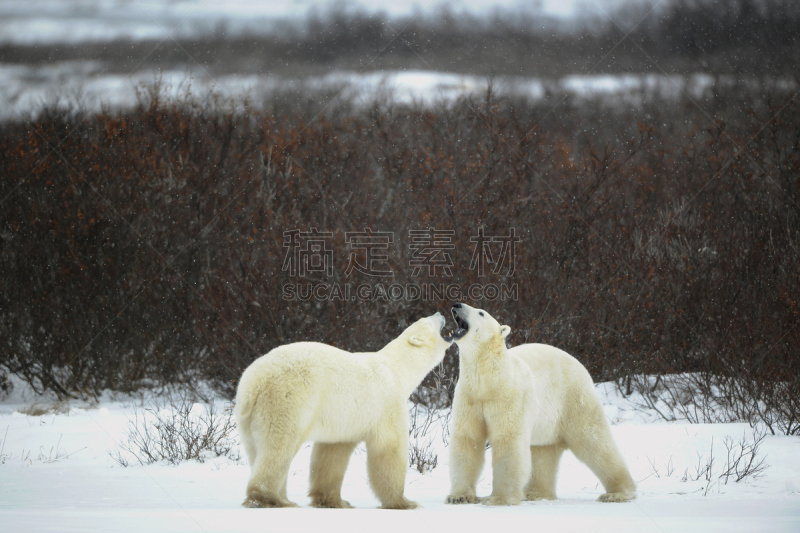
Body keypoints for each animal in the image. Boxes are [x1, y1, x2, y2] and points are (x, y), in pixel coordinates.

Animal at [234, 312, 454, 508]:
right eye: (428, 320)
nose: (440, 312)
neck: (399, 369)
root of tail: (254, 382)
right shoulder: (388, 403)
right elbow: (389, 449)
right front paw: (404, 502)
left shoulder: (345, 418)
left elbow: (332, 453)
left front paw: (334, 501)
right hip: (288, 399)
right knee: (279, 446)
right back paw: (268, 498)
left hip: (249, 417)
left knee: (255, 450)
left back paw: (281, 498)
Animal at [446, 304, 636, 502]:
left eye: (481, 312)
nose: (457, 305)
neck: (490, 379)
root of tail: (581, 365)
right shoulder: (470, 397)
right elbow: (467, 439)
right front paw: (459, 497)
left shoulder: (508, 396)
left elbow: (508, 440)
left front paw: (499, 498)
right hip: (548, 420)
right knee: (542, 452)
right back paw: (536, 494)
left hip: (573, 398)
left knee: (593, 440)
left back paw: (617, 493)